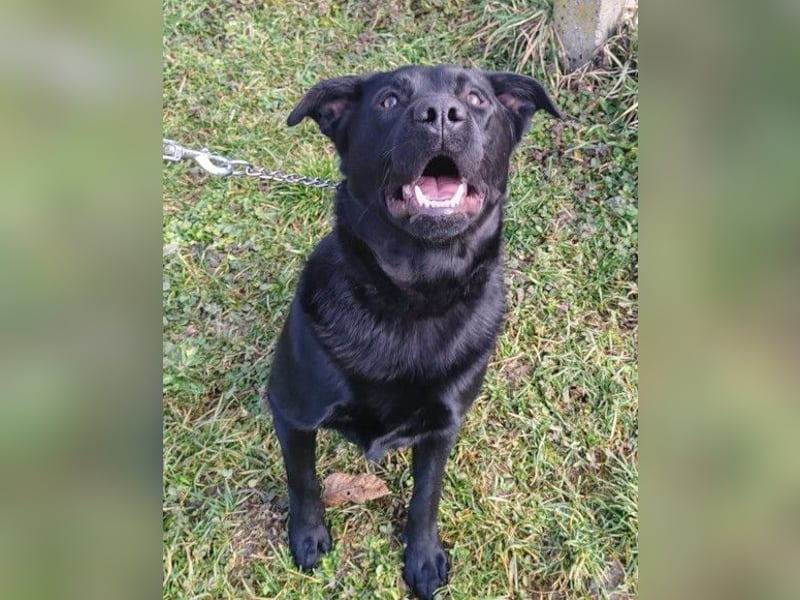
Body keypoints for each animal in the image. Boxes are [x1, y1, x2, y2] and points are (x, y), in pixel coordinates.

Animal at [265, 65, 560, 599]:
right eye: (388, 100)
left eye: (477, 98)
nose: (441, 112)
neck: (414, 296)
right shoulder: (292, 411)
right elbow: (304, 480)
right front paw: (309, 536)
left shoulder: (443, 428)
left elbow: (427, 496)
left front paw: (423, 559)